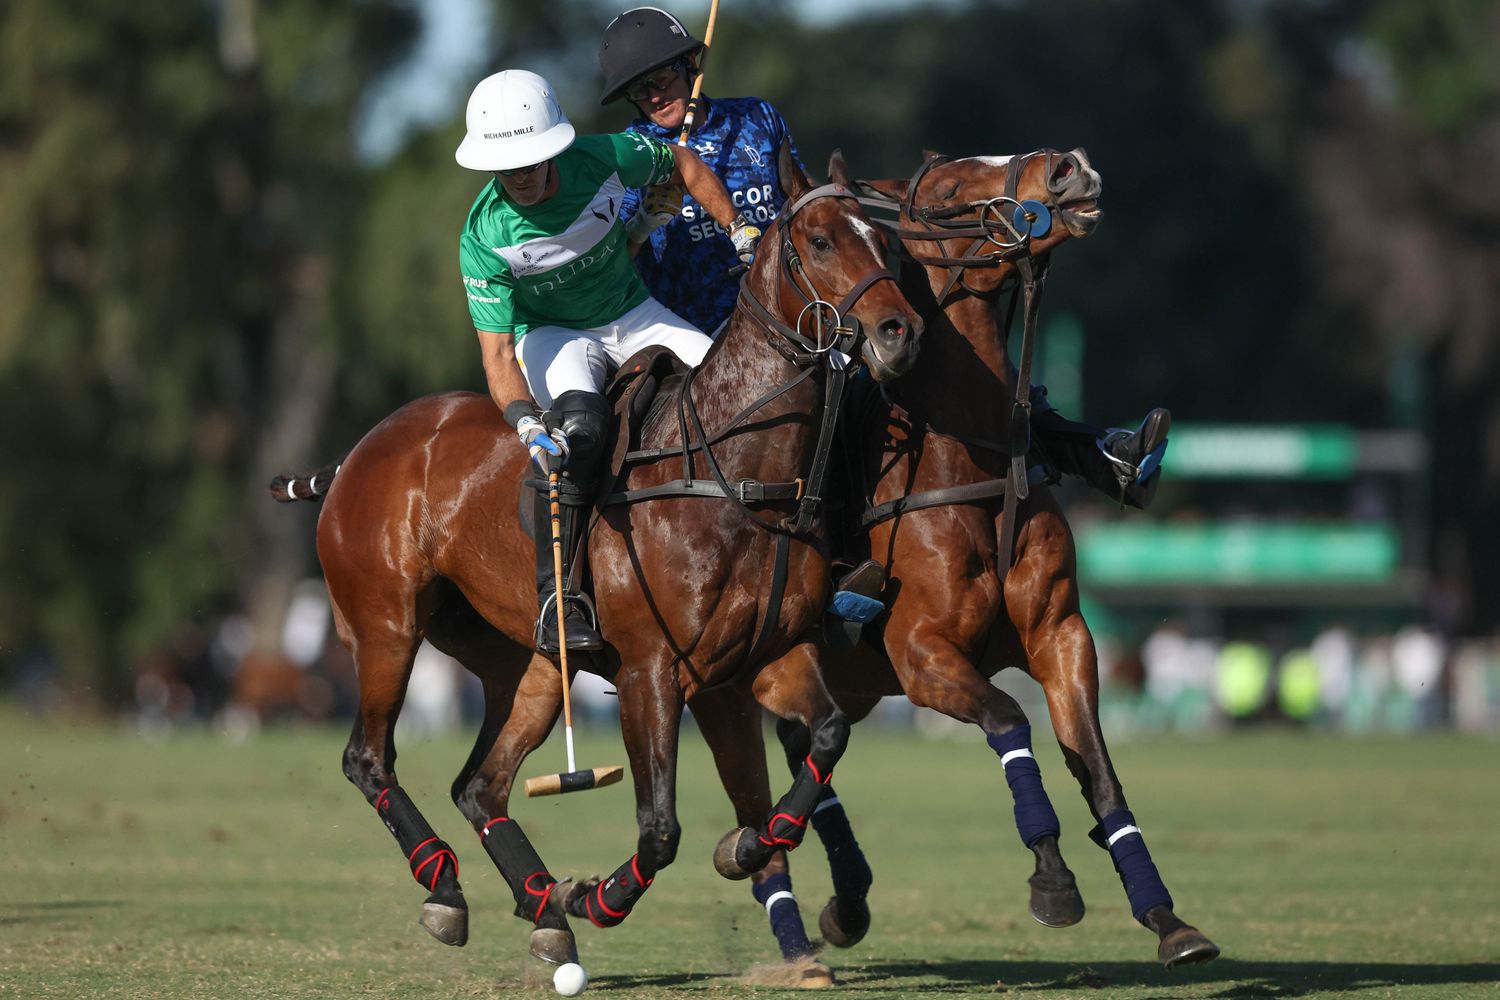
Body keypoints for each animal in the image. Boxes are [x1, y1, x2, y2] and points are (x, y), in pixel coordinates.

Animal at [274, 154, 918, 971]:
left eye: (883, 239)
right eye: (821, 241)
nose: (901, 333)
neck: (736, 474)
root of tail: (354, 456)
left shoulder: (775, 653)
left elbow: (828, 736)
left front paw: (744, 847)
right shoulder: (653, 670)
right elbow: (661, 825)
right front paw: (604, 896)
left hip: (522, 660)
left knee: (480, 784)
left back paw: (542, 906)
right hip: (384, 626)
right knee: (369, 757)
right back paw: (452, 890)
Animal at [750, 154, 1218, 971]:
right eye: (946, 191)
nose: (1070, 170)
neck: (972, 459)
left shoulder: (1061, 633)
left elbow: (1099, 770)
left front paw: (1166, 918)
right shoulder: (922, 653)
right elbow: (1007, 719)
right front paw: (1053, 879)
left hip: (844, 680)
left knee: (810, 745)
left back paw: (845, 900)